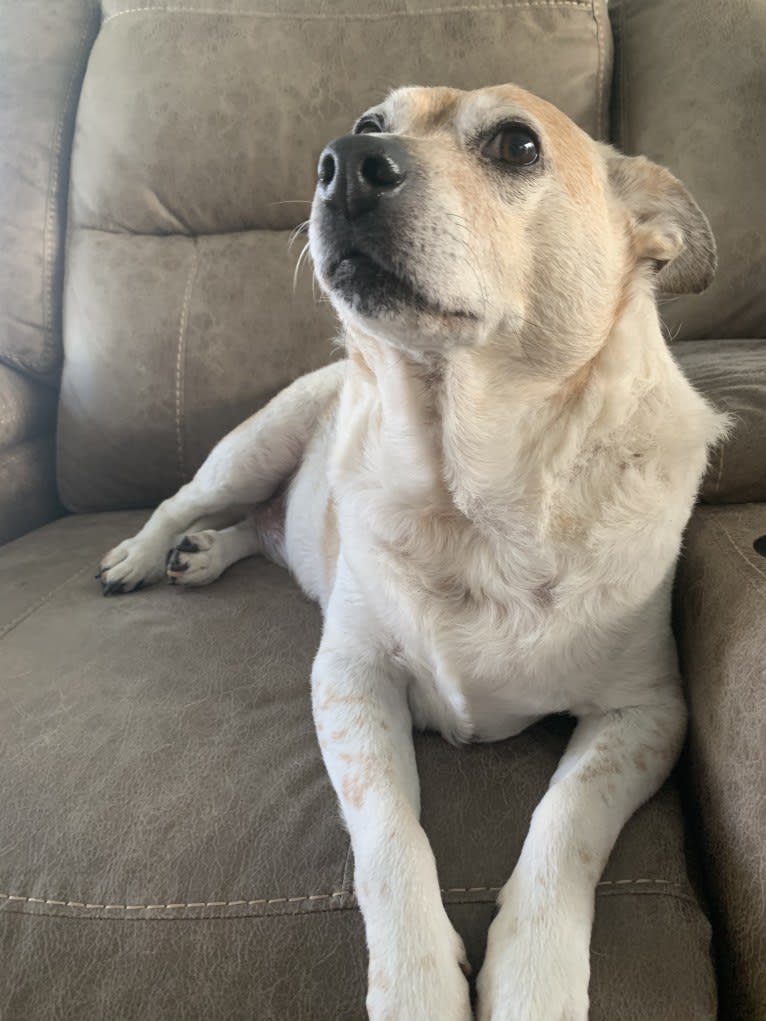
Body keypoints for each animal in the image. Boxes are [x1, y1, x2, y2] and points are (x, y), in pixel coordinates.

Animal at [99, 85, 727, 1021]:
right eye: (371, 124)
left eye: (517, 144)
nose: (343, 163)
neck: (472, 497)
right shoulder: (350, 680)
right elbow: (390, 834)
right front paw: (419, 983)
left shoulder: (646, 713)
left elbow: (565, 820)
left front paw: (534, 979)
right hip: (256, 443)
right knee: (189, 501)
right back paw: (143, 556)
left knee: (259, 529)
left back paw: (204, 554)